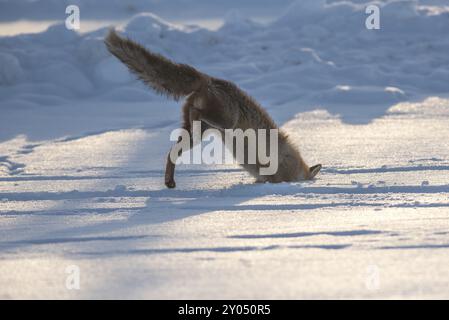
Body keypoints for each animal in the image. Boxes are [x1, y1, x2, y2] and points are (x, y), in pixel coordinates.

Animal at [103, 29, 320, 188]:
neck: (297, 167)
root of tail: (208, 79)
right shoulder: (276, 172)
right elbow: (274, 178)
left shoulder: (262, 174)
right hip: (224, 122)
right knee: (197, 118)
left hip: (198, 134)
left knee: (171, 153)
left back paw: (169, 181)